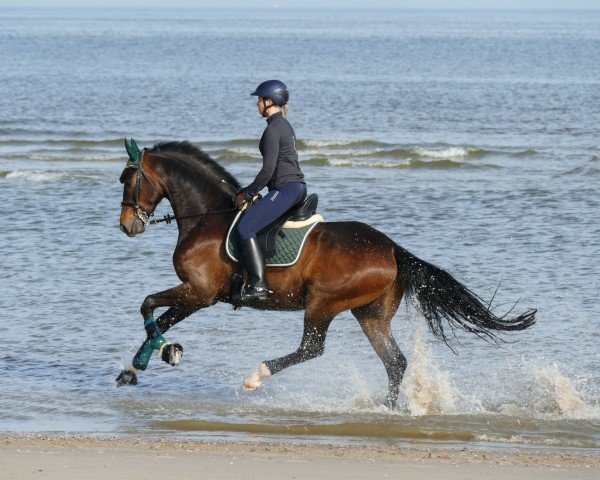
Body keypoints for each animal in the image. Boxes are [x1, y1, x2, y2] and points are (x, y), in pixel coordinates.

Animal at [116, 141, 536, 406]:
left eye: (128, 180)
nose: (127, 226)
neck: (207, 218)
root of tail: (391, 248)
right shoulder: (198, 295)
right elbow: (158, 320)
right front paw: (137, 367)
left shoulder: (200, 292)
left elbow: (147, 306)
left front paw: (162, 354)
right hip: (370, 313)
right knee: (395, 362)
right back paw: (388, 408)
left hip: (323, 303)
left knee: (312, 348)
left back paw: (256, 376)